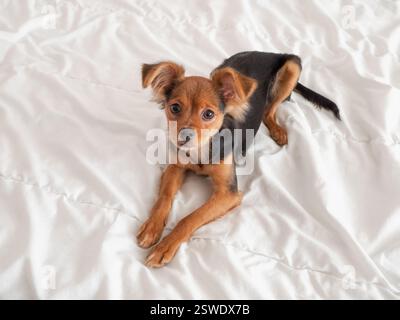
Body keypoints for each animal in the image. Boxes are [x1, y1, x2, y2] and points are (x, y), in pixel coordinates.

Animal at [138, 51, 340, 266]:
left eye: (208, 114)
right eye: (175, 108)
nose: (184, 138)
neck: (202, 149)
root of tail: (268, 52)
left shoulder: (229, 194)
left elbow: (191, 217)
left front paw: (165, 246)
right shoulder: (175, 167)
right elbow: (164, 197)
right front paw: (151, 227)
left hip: (292, 67)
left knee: (269, 111)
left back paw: (278, 131)